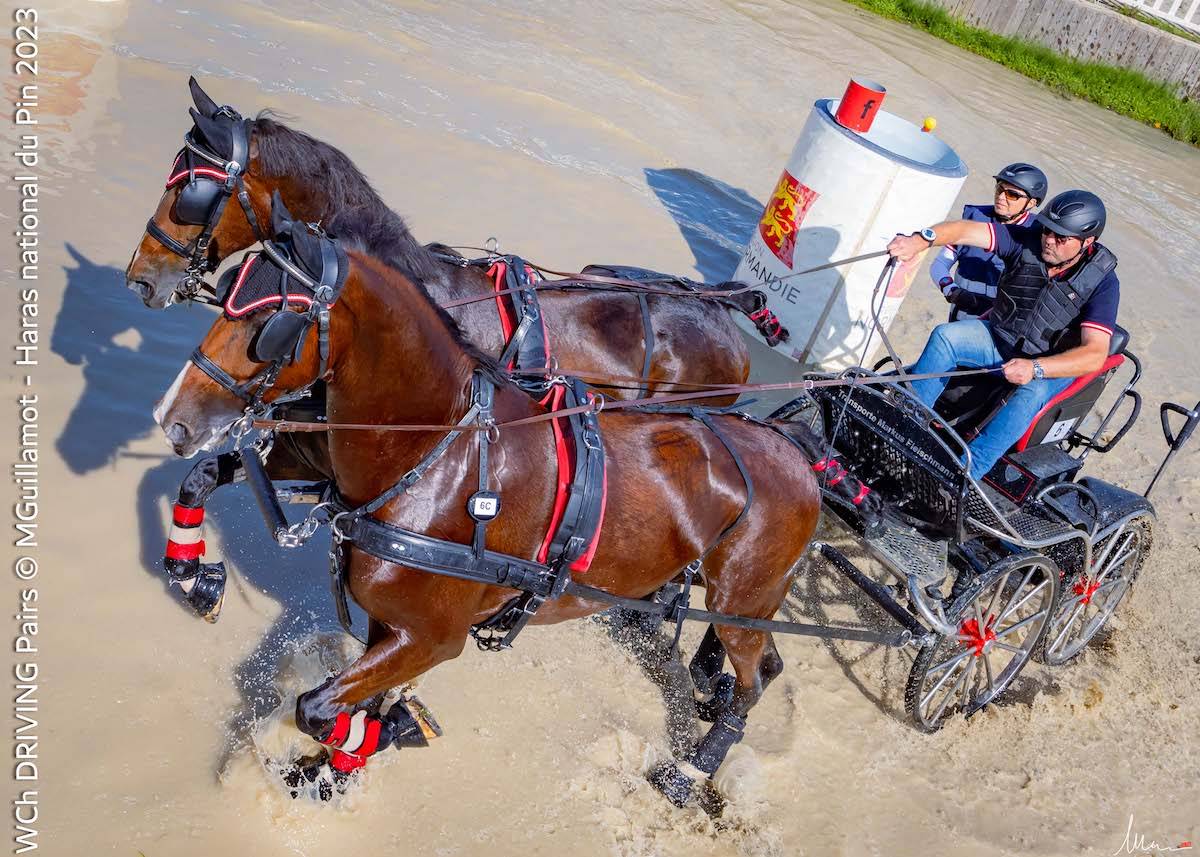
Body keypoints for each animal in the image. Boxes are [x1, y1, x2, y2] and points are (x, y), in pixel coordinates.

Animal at [152, 195, 822, 808]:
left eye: (272, 325)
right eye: (229, 291)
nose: (172, 416)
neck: (435, 454)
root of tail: (795, 449)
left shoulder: (432, 636)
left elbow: (317, 707)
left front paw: (387, 733)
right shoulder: (391, 623)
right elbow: (352, 697)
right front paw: (334, 765)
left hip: (743, 600)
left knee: (756, 676)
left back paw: (692, 767)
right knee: (757, 664)